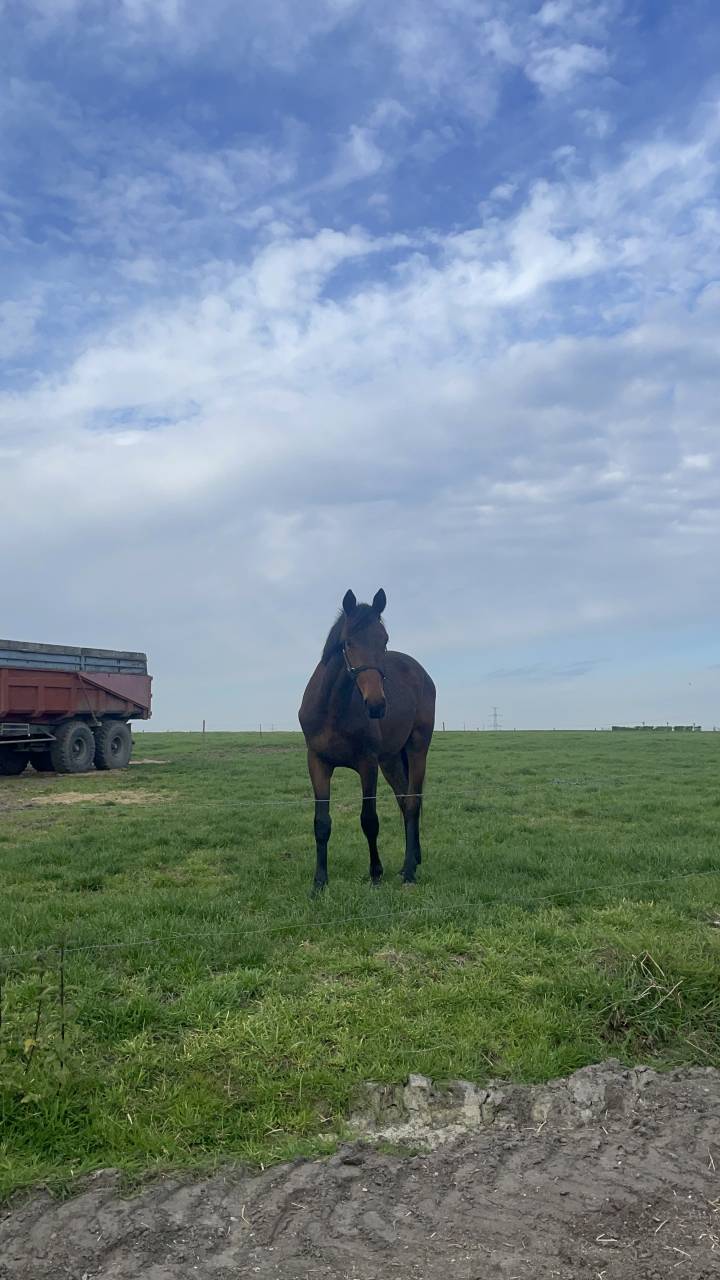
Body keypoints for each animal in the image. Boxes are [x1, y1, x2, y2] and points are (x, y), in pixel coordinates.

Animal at [298, 589, 436, 892]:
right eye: (348, 642)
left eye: (384, 641)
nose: (376, 705)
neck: (333, 709)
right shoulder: (317, 762)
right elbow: (321, 823)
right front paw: (319, 882)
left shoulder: (367, 764)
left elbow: (369, 820)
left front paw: (375, 874)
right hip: (392, 760)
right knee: (403, 799)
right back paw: (412, 860)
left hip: (417, 748)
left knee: (412, 804)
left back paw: (409, 871)